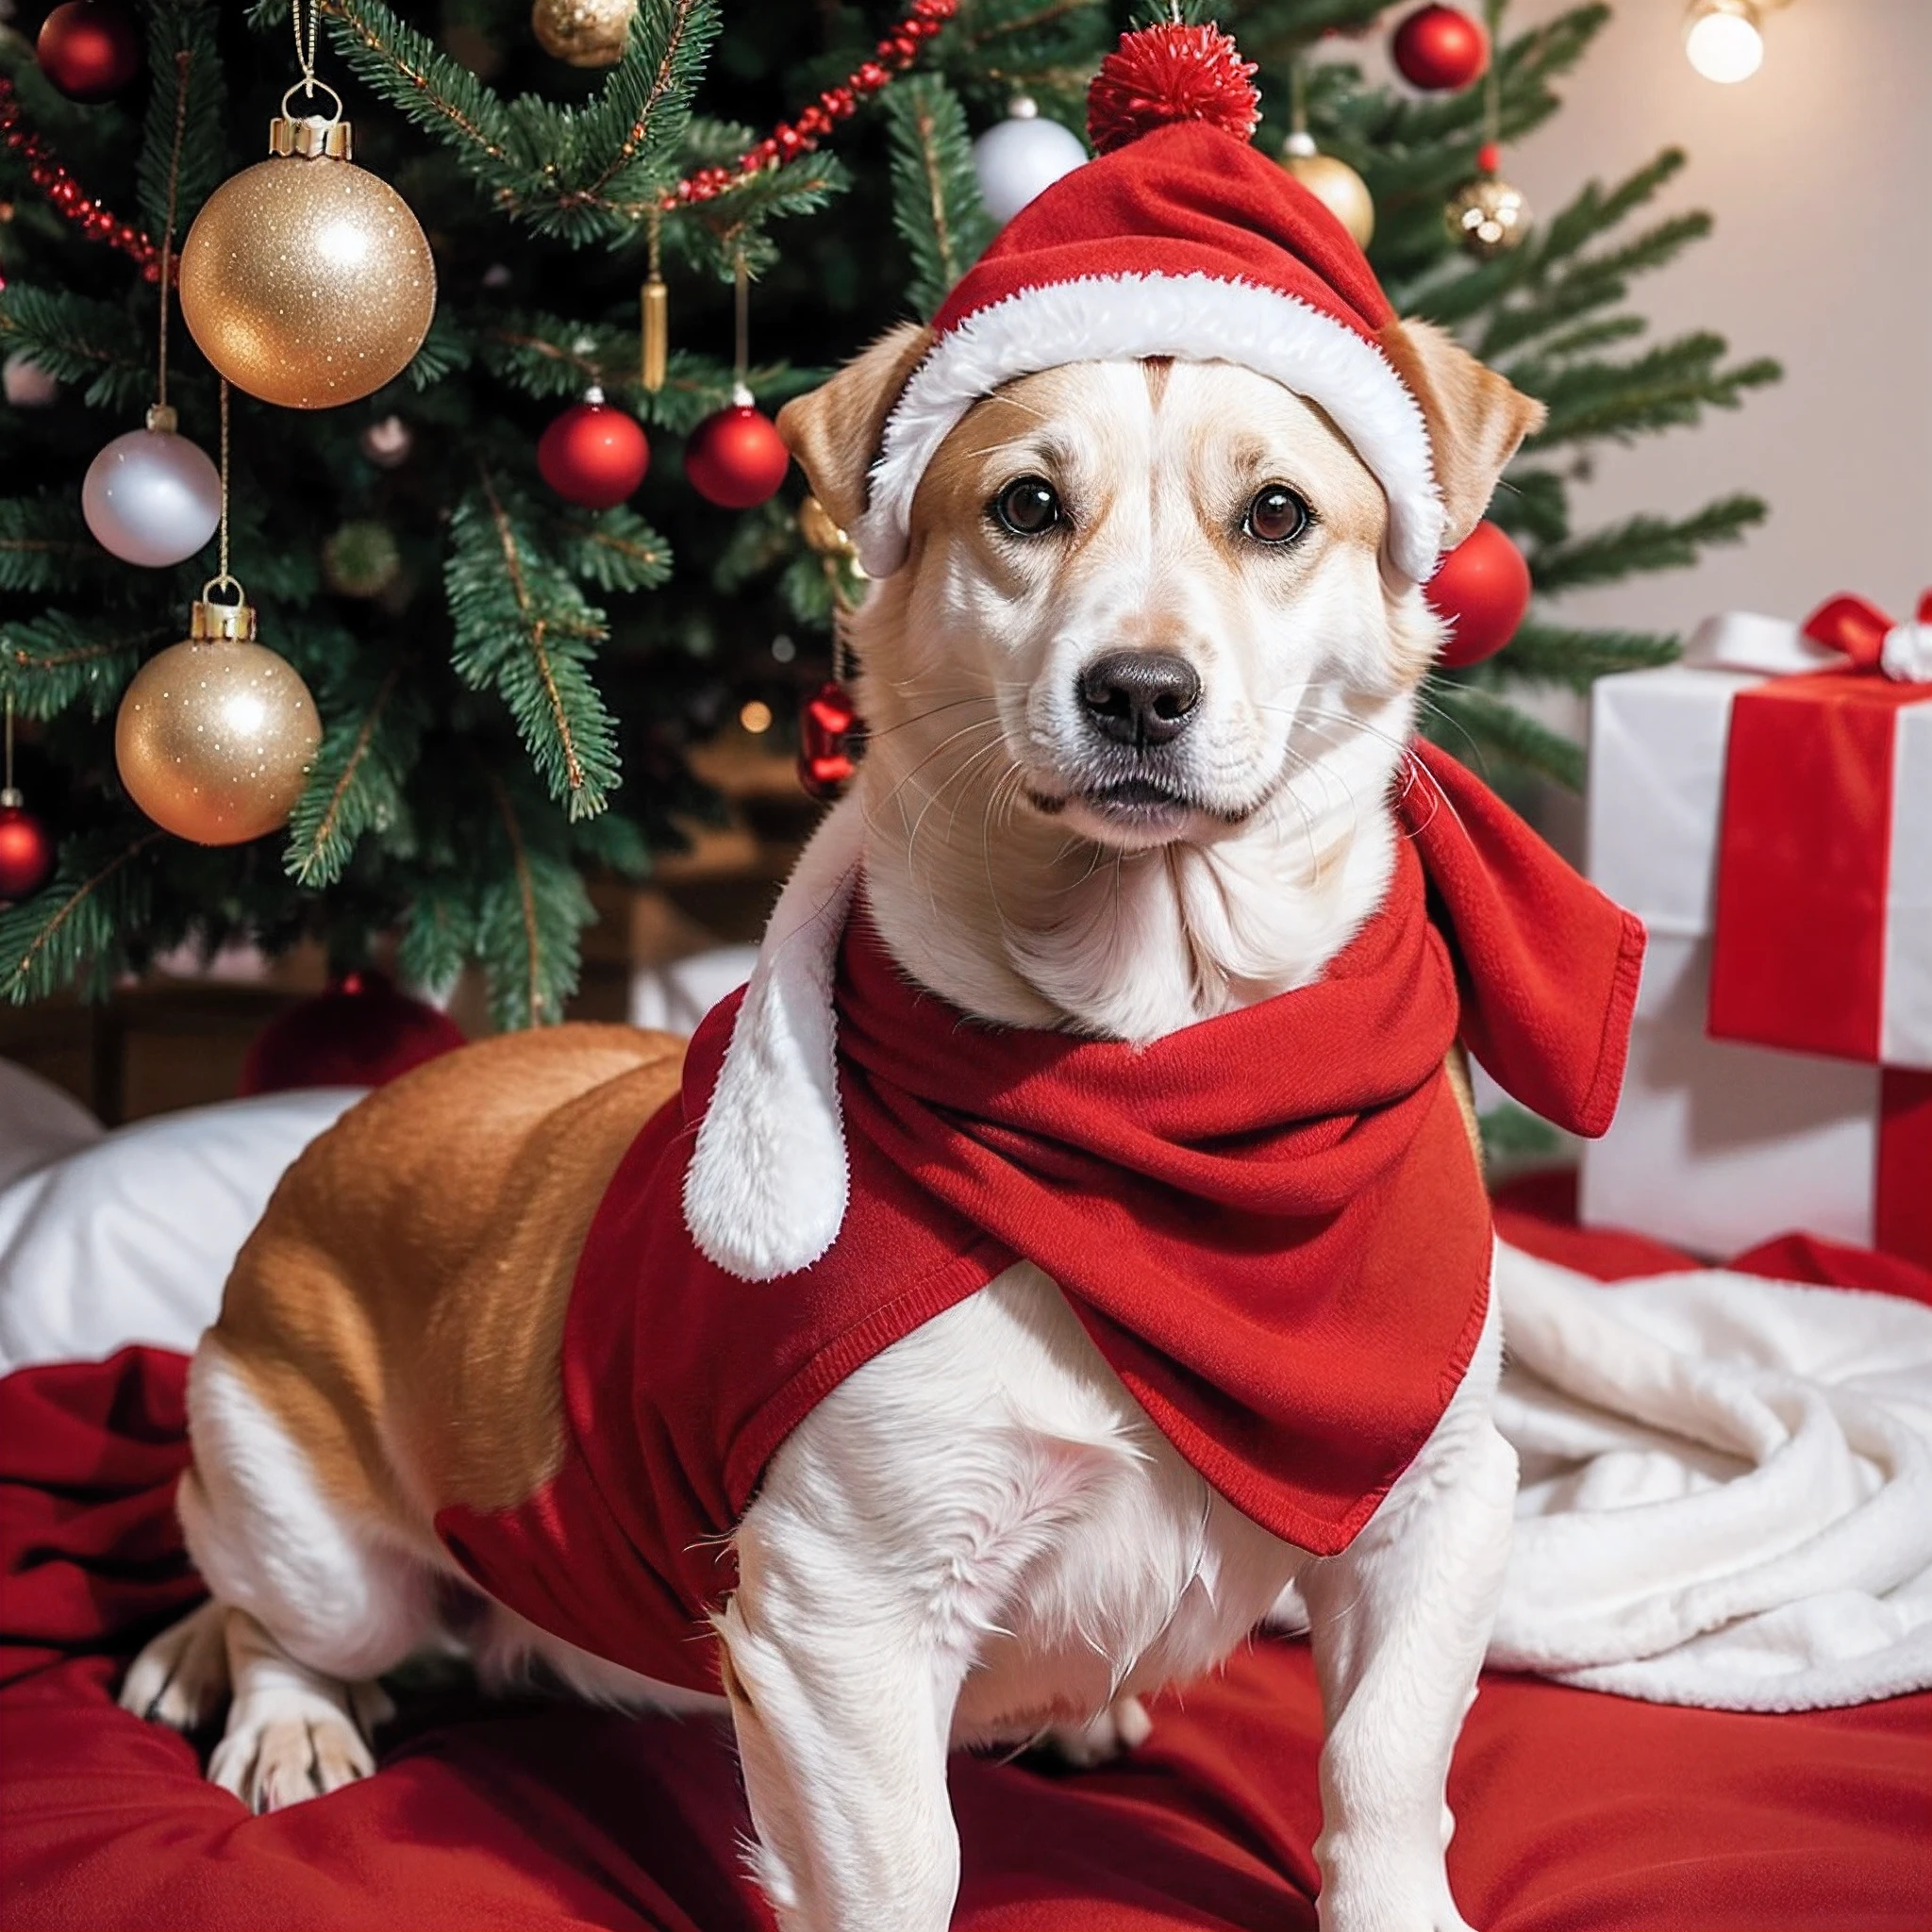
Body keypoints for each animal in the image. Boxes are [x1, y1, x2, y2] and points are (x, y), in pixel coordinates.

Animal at [121, 102, 1654, 1932]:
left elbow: (1381, 1774)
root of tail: (339, 1142)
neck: (1160, 1070)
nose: (1137, 694)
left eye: (1276, 513)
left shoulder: (1435, 1498)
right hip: (299, 1496)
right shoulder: (843, 1603)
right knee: (279, 1607)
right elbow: (895, 1863)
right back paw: (261, 1701)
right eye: (1027, 505)